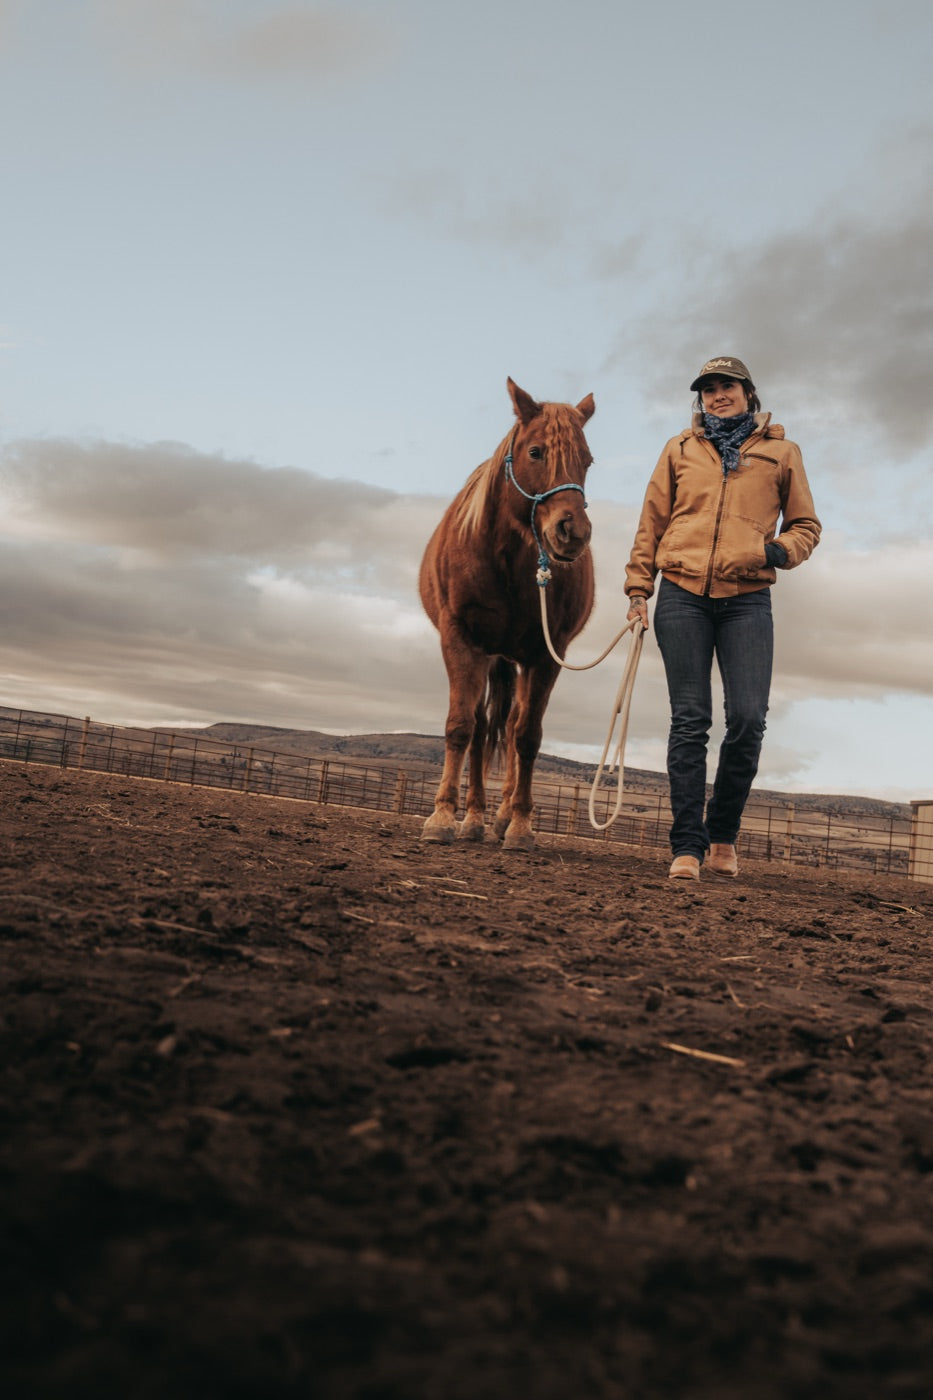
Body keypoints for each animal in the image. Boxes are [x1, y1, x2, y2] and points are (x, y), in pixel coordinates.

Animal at [419, 377, 596, 850]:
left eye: (587, 460)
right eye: (536, 452)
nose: (573, 532)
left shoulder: (547, 653)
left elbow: (527, 737)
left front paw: (519, 824)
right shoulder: (460, 638)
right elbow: (461, 726)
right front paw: (443, 817)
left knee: (514, 725)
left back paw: (498, 818)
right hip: (491, 655)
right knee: (482, 729)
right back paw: (474, 817)